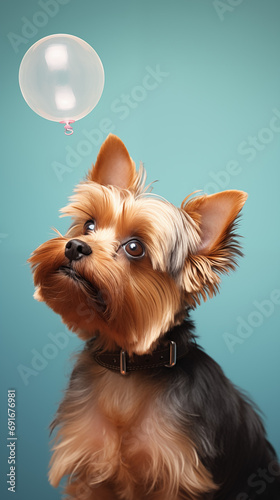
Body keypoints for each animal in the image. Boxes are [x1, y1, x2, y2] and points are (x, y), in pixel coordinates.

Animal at [29, 135, 280, 498]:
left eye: (135, 248)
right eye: (89, 225)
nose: (75, 246)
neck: (127, 369)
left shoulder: (176, 477)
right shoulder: (90, 470)